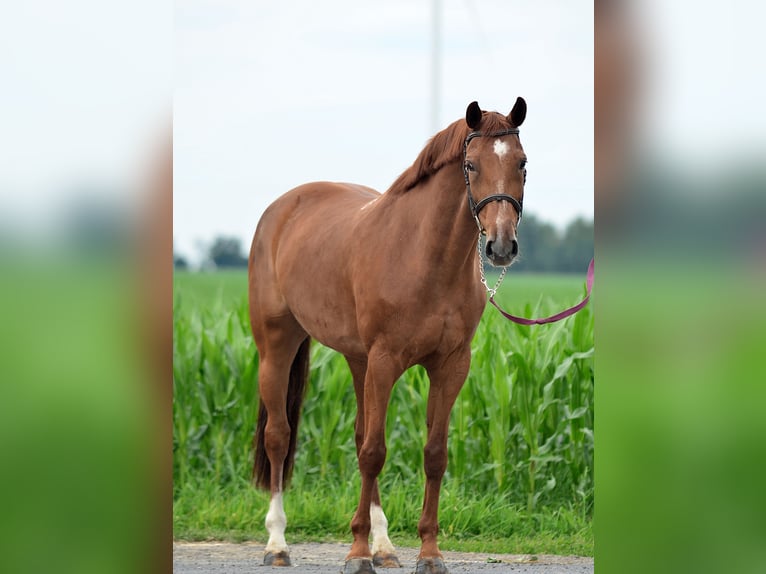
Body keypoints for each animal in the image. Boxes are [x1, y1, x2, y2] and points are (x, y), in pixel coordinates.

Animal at [250, 100, 528, 574]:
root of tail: (280, 210)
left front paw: (428, 553)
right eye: (471, 165)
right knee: (279, 437)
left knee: (360, 432)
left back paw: (384, 546)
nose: (501, 246)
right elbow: (374, 453)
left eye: (522, 163)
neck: (423, 256)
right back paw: (277, 543)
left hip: (357, 359)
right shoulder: (385, 360)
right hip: (278, 348)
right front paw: (357, 553)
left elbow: (433, 454)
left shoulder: (451, 365)